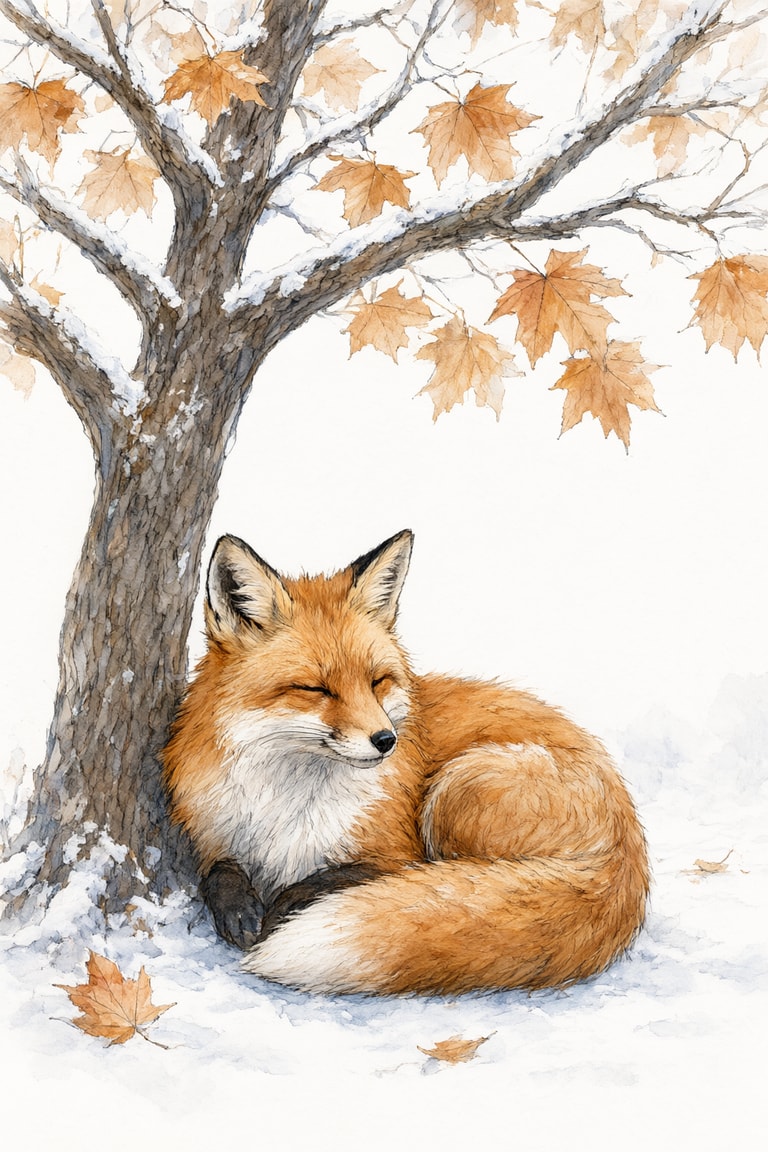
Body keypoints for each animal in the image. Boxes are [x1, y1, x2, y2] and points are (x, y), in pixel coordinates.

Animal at [162, 530, 650, 996]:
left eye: (377, 681)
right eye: (316, 689)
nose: (386, 741)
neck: (287, 807)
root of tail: (629, 856)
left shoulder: (397, 852)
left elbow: (344, 875)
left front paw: (284, 907)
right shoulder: (210, 833)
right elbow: (218, 872)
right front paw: (239, 908)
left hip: (457, 789)